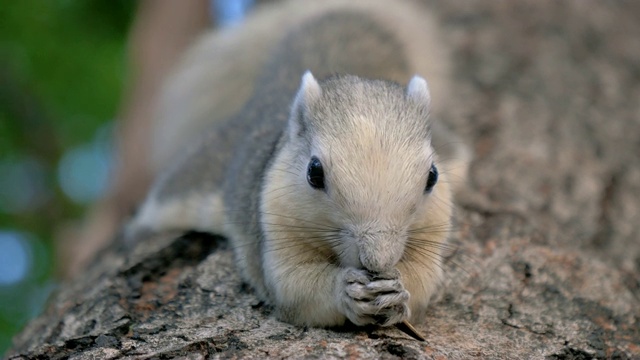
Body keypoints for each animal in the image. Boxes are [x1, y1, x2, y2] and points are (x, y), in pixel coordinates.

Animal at [129, 0, 470, 330]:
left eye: (432, 176)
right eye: (314, 173)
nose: (377, 260)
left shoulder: (434, 227)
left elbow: (423, 279)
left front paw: (398, 290)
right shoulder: (274, 228)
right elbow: (296, 287)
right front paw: (345, 291)